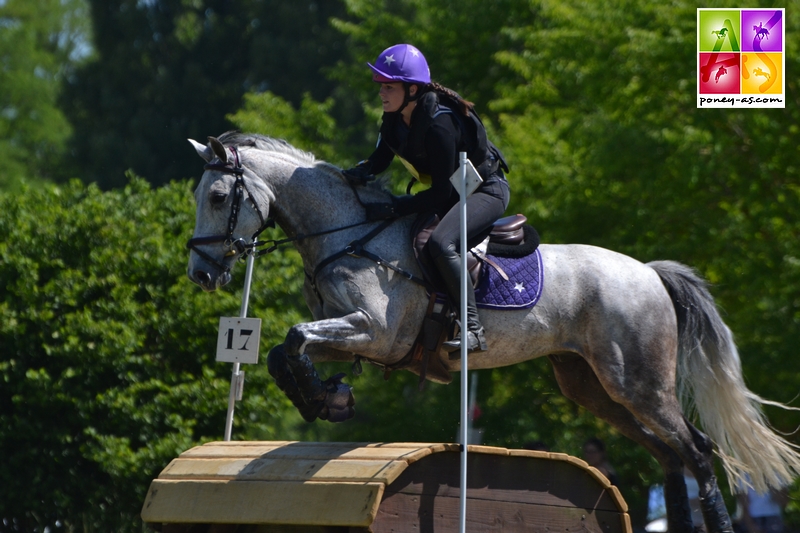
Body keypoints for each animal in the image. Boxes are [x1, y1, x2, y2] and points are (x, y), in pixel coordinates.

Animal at [189, 132, 800, 532]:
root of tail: (648, 272)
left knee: (696, 451)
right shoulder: (351, 334)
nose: (200, 274)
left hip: (640, 383)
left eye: (218, 198)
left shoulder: (375, 332)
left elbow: (294, 338)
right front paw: (327, 398)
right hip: (592, 385)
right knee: (670, 458)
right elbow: (282, 350)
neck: (352, 232)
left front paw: (325, 399)